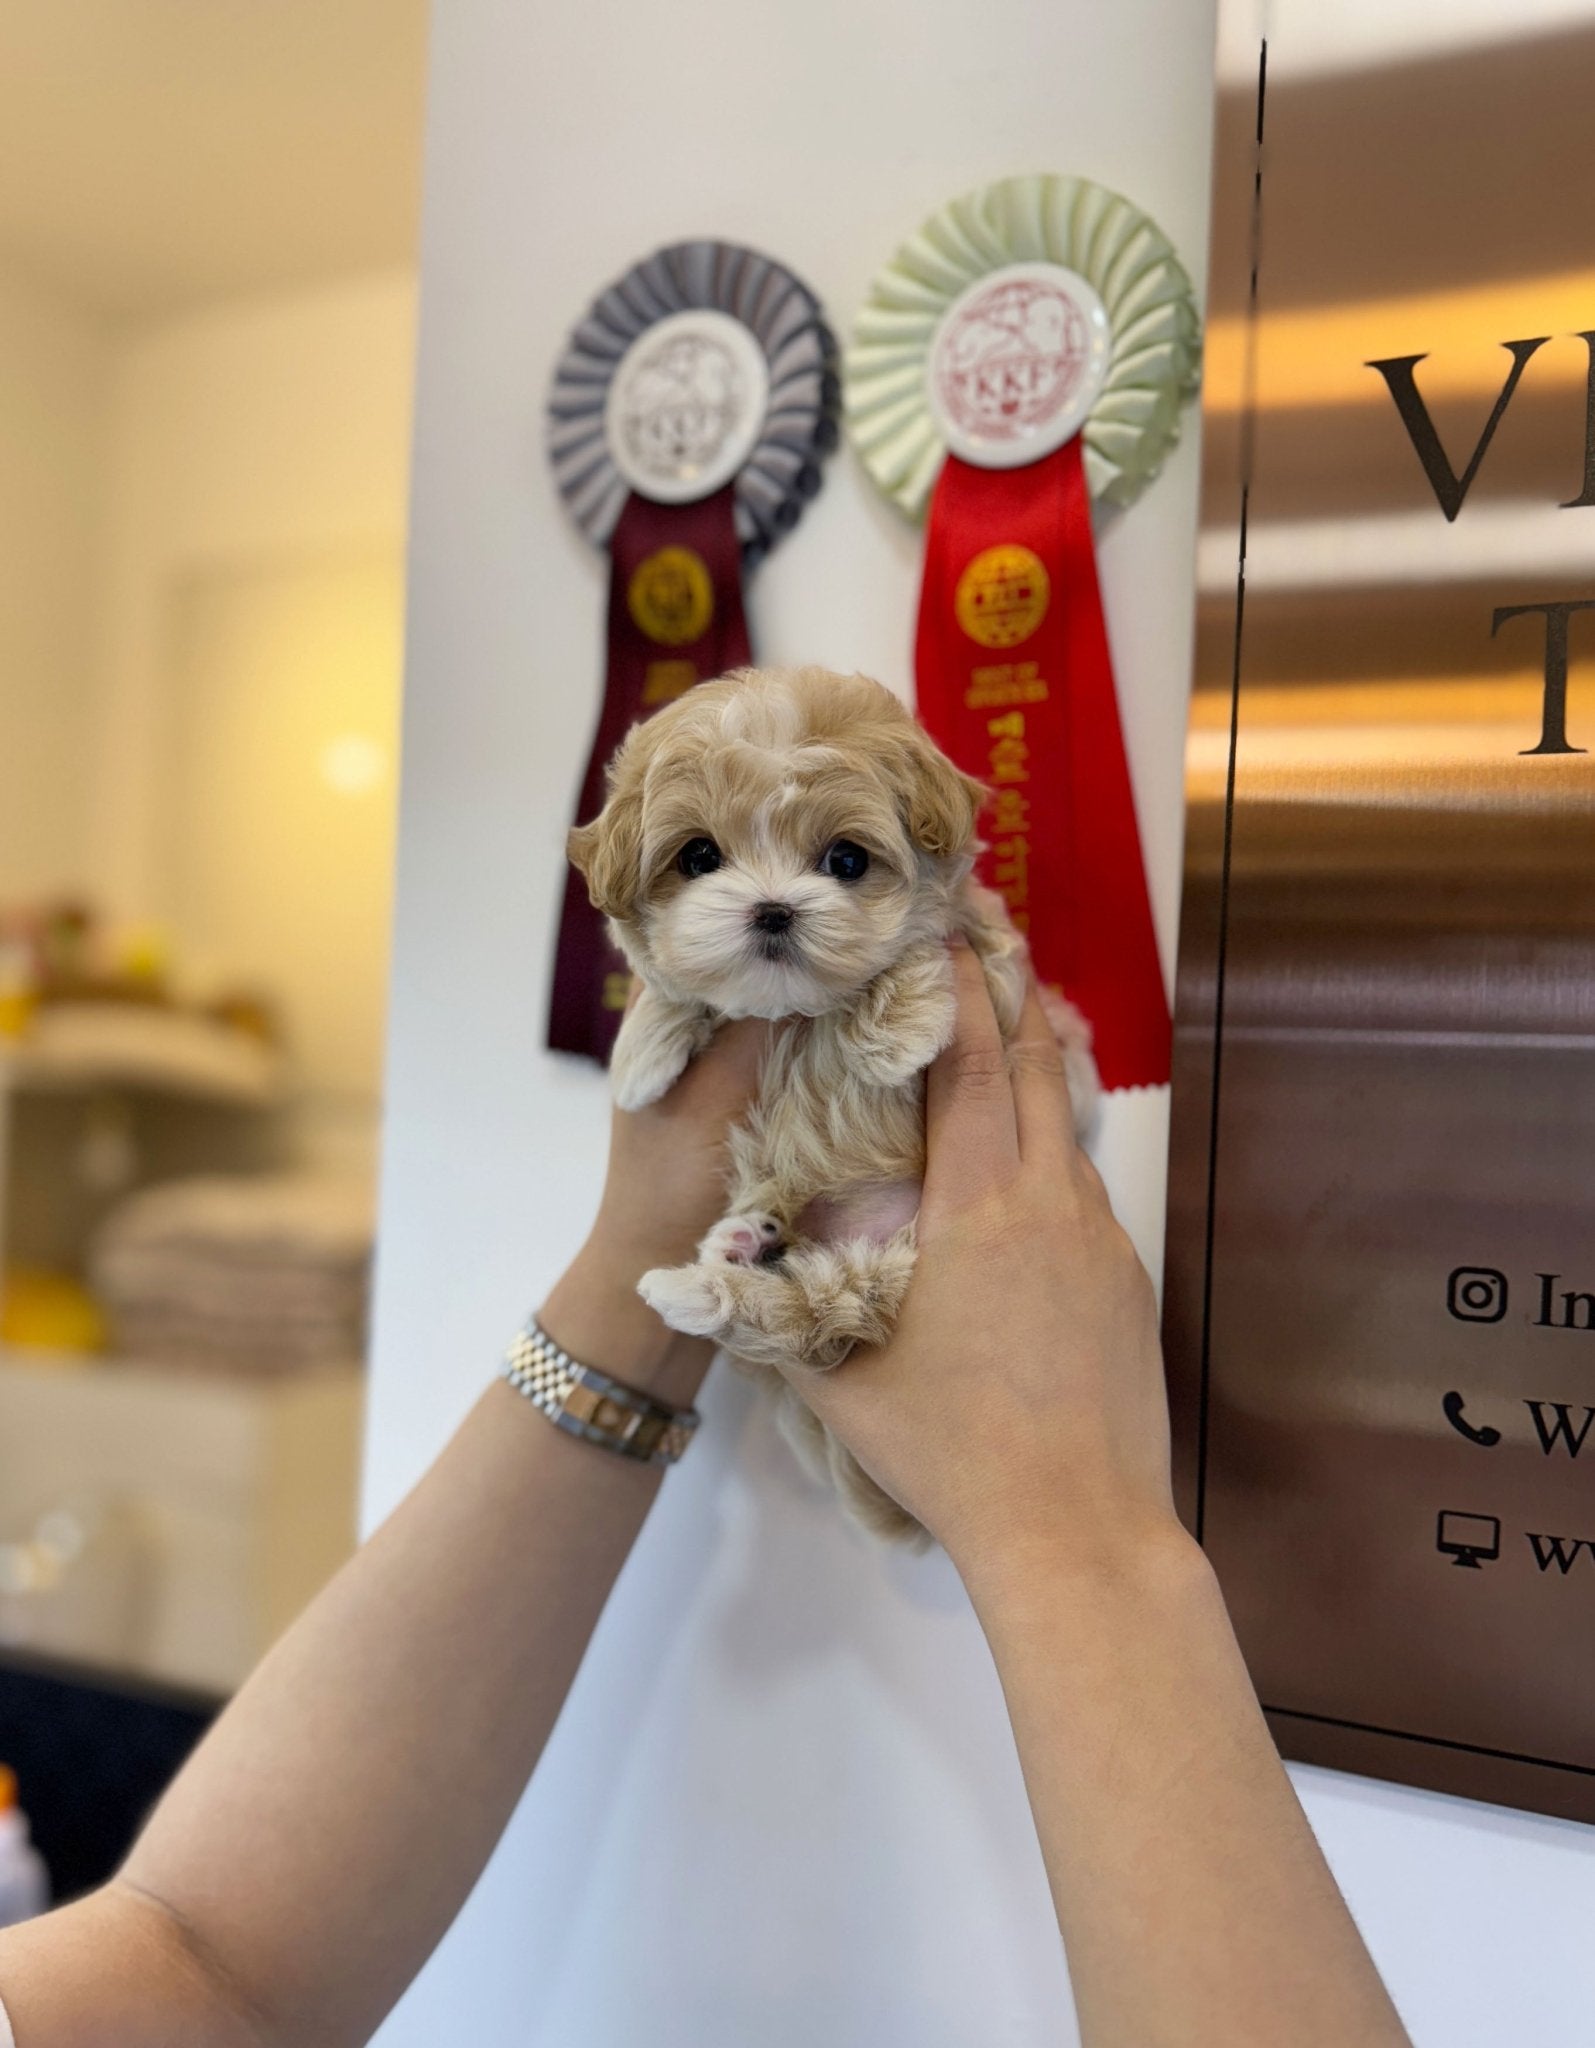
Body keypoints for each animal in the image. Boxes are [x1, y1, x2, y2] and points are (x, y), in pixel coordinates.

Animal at [569, 663, 1105, 1540]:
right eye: (698, 856)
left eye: (846, 859)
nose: (773, 909)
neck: (799, 1013)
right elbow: (673, 988)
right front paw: (642, 1055)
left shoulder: (1019, 994)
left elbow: (931, 944)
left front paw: (895, 1032)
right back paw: (735, 1249)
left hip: (889, 1273)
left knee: (814, 1316)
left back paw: (707, 1282)